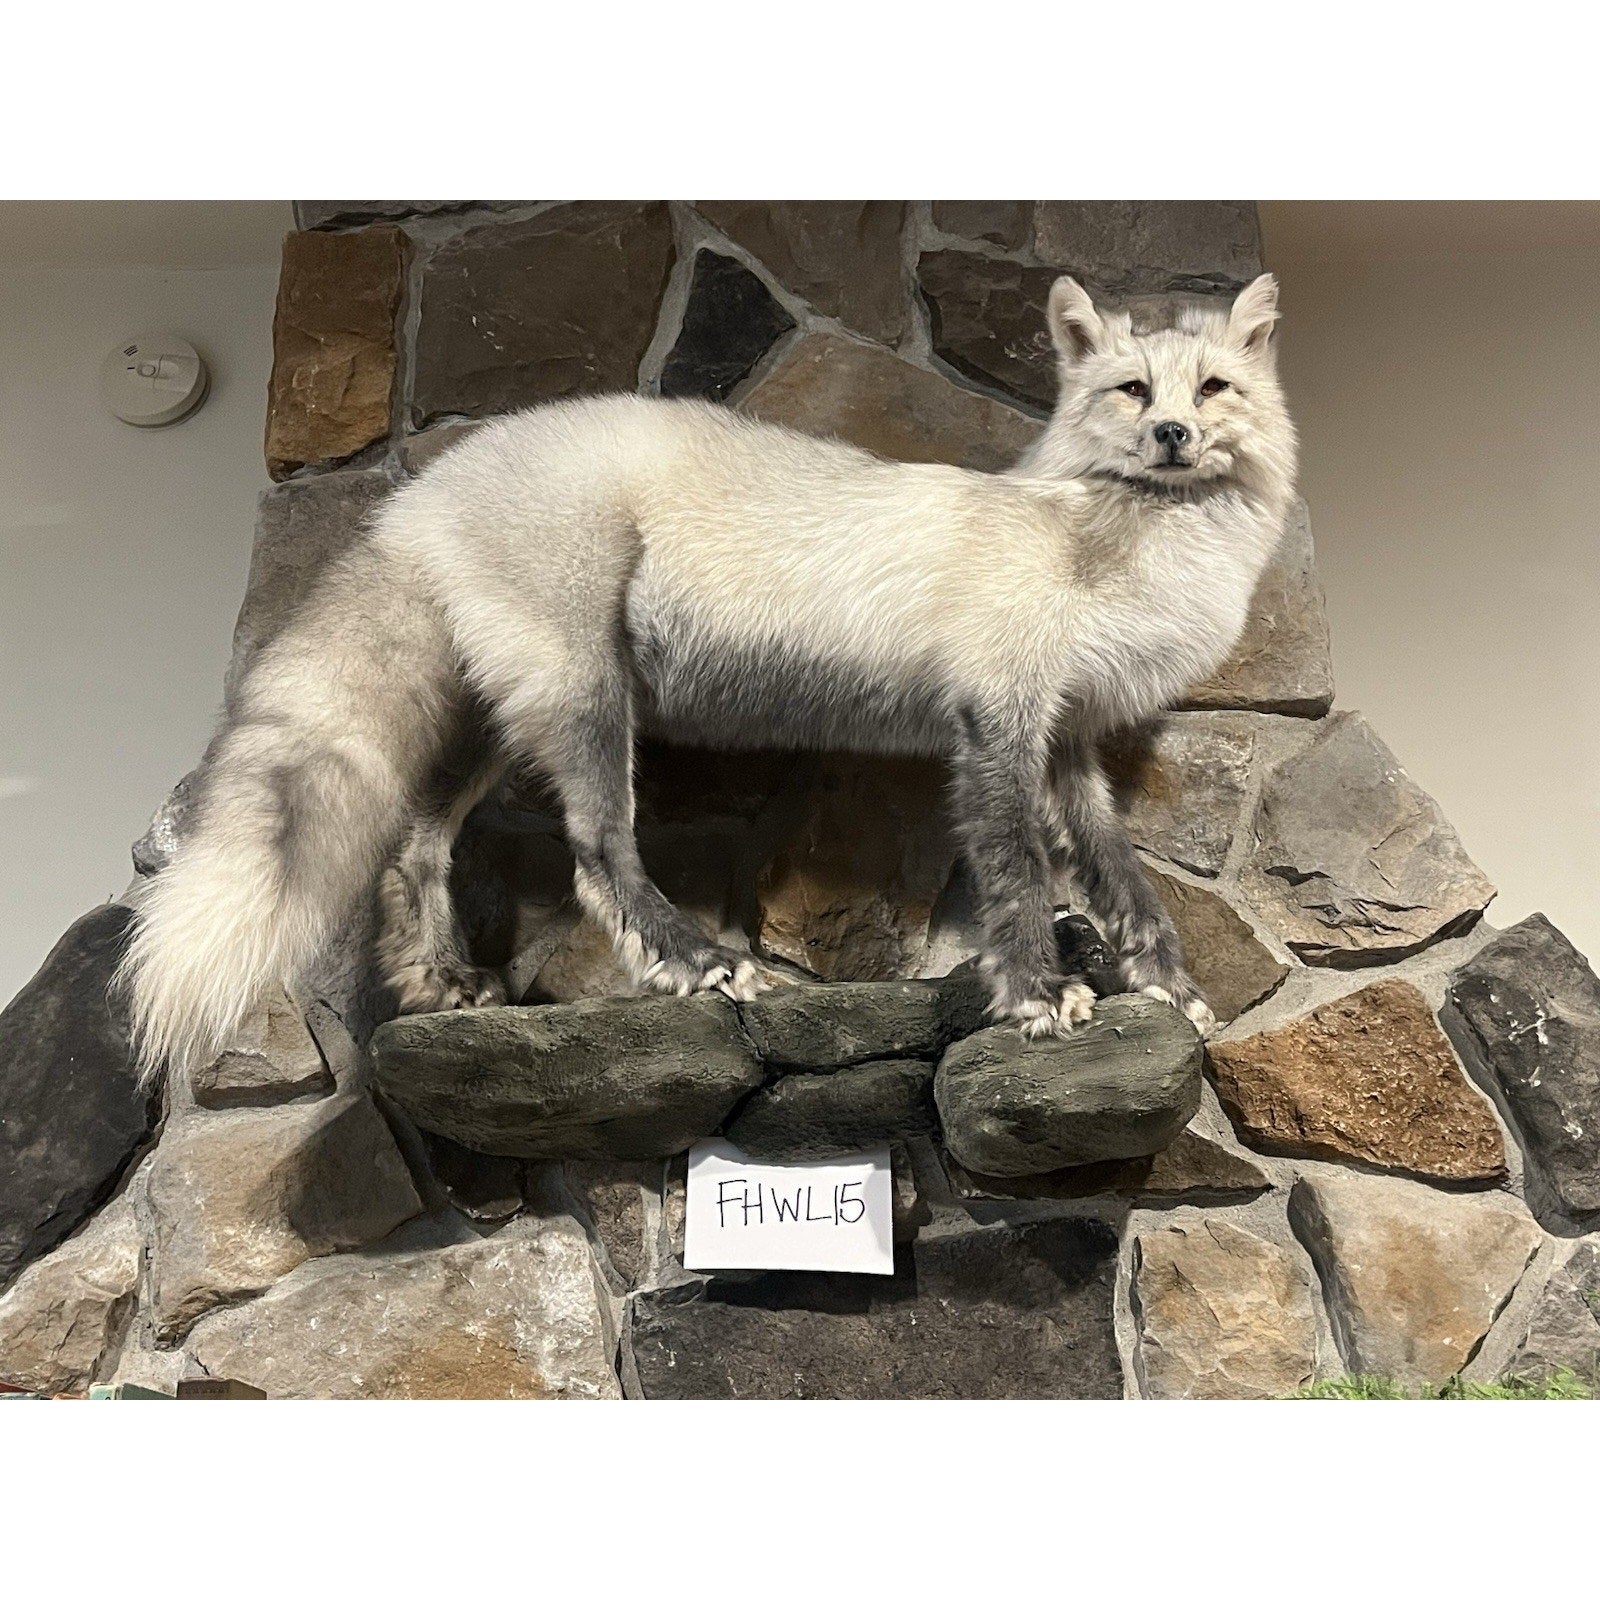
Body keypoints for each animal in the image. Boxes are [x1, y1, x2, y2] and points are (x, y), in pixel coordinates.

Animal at [121, 271, 1297, 1090]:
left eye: (1214, 388)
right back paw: (697, 964)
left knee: (417, 841)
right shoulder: (996, 723)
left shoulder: (1070, 744)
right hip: (588, 701)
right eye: (1132, 391)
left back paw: (443, 985)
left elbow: (1125, 884)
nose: (1174, 434)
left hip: (507, 718)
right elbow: (1016, 879)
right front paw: (1038, 999)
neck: (1104, 553)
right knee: (598, 857)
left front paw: (1173, 991)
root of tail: (428, 483)